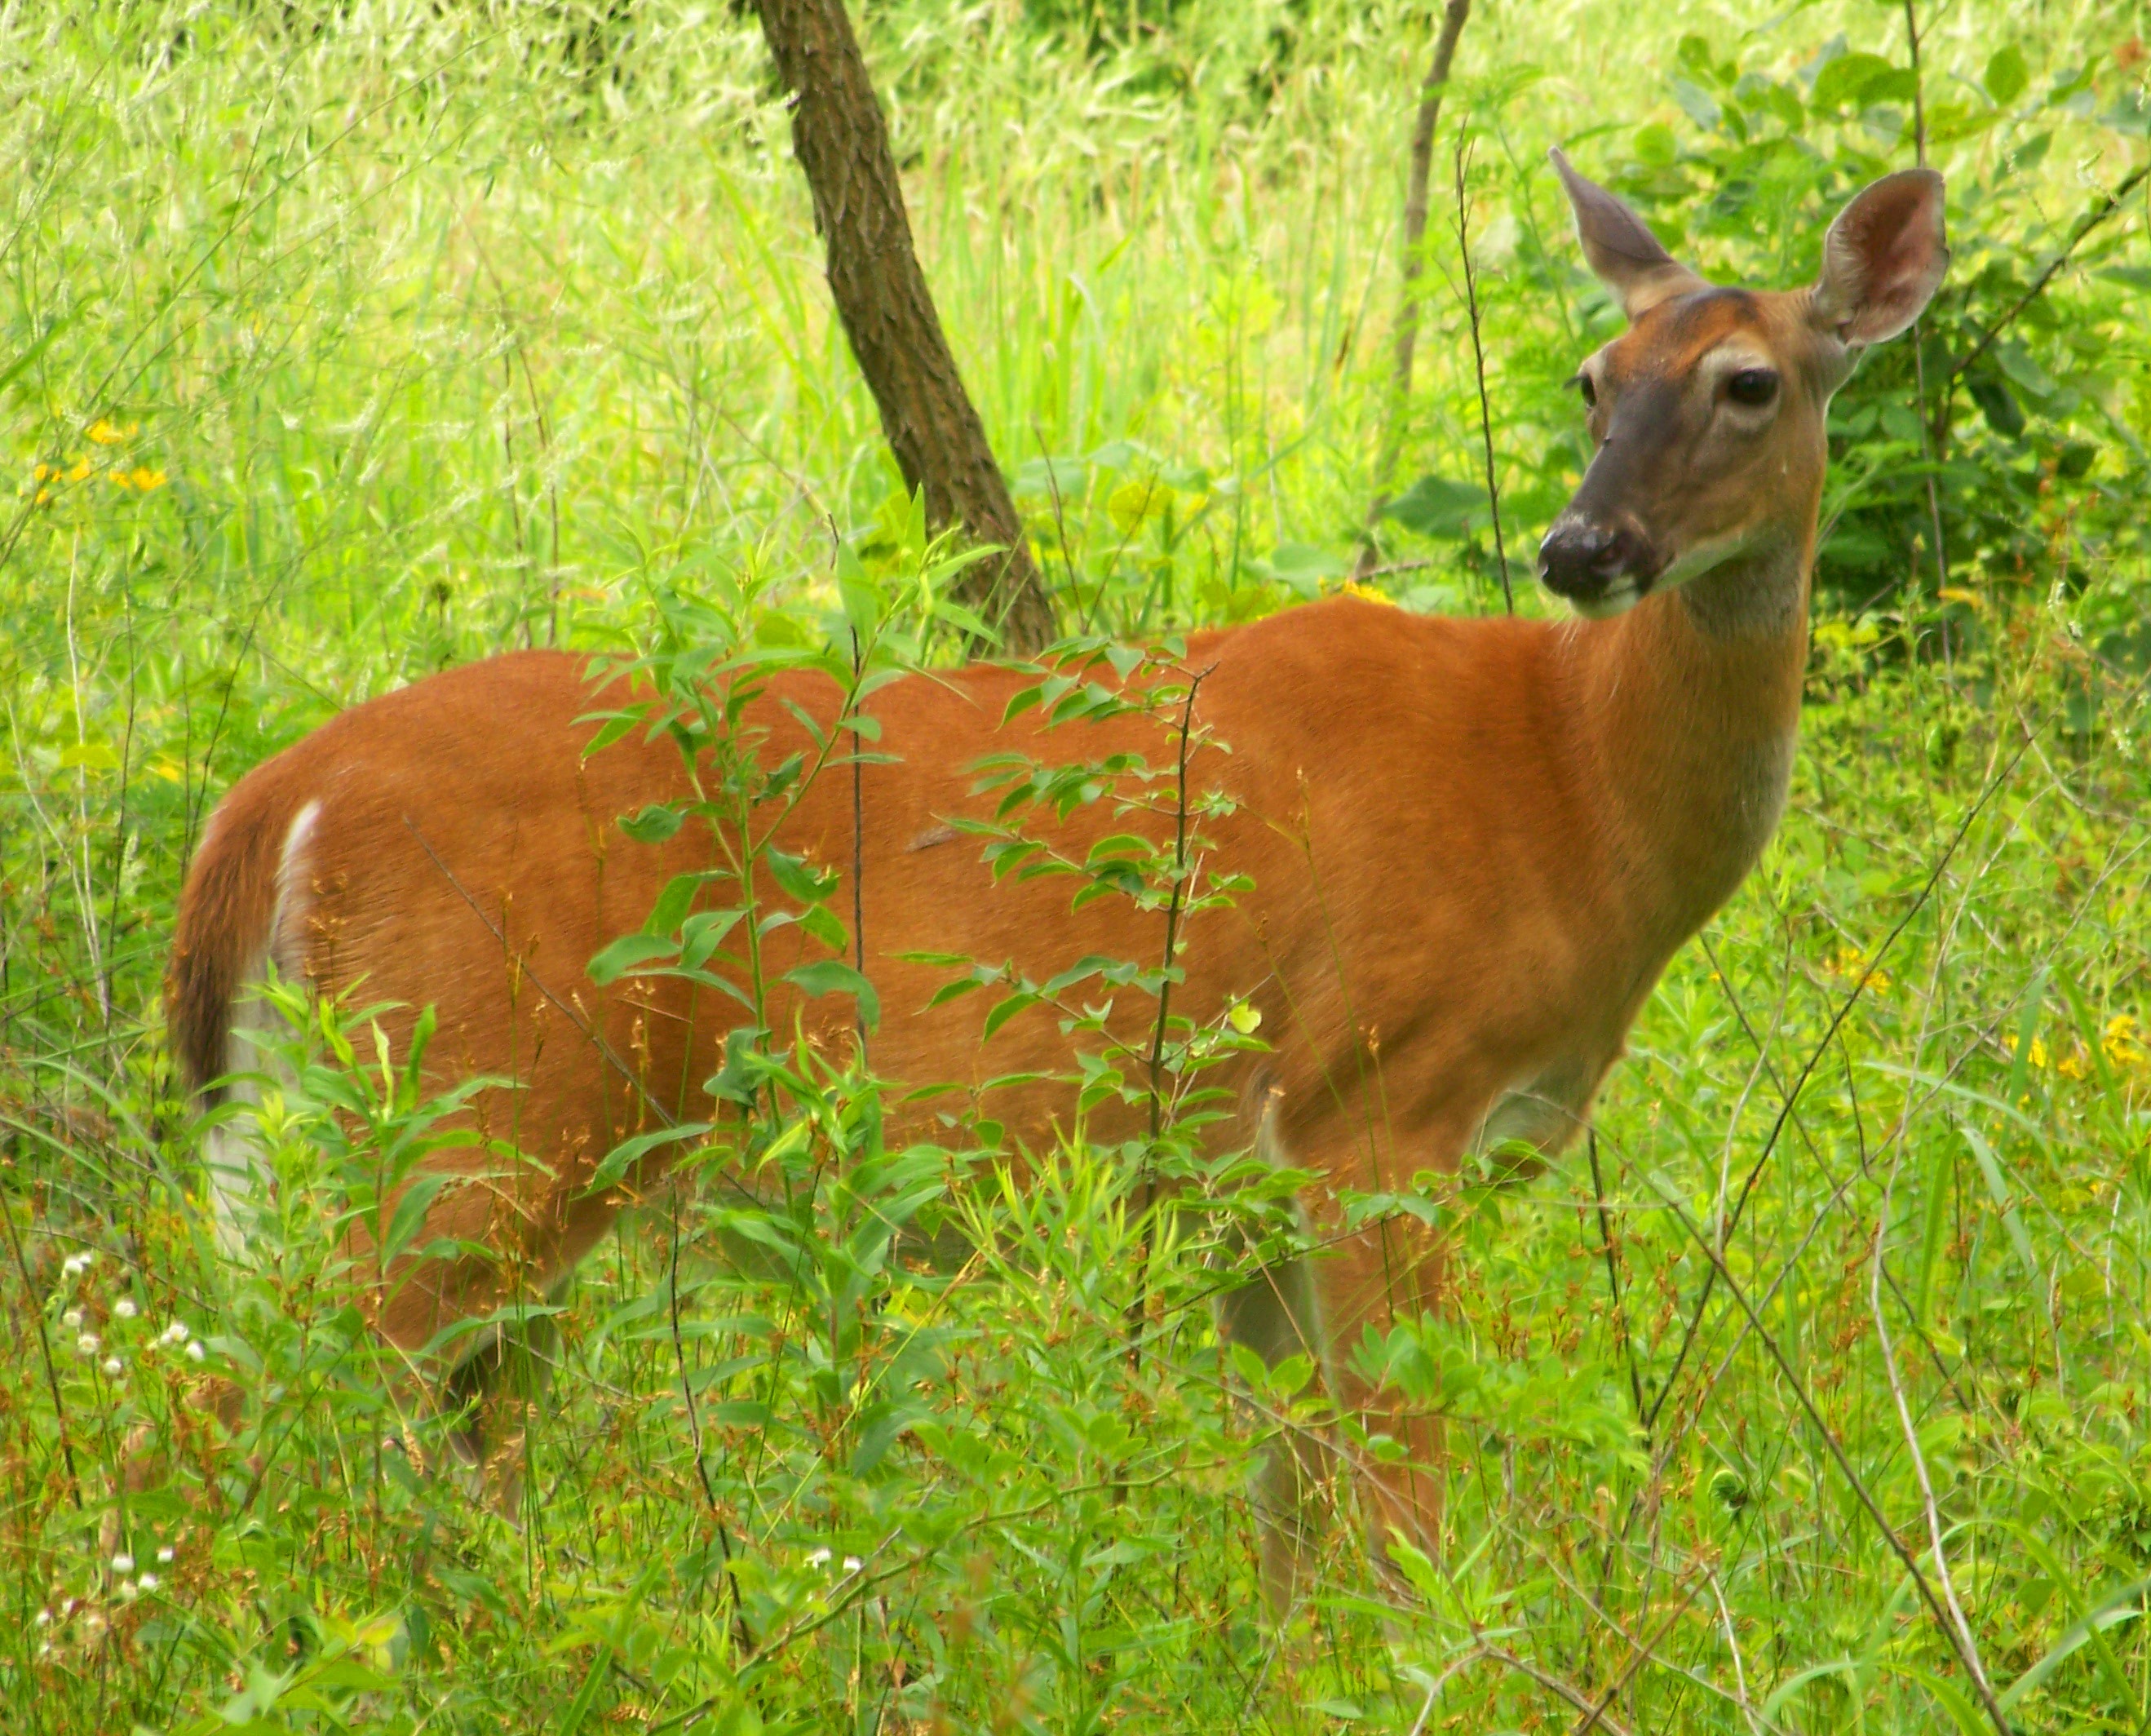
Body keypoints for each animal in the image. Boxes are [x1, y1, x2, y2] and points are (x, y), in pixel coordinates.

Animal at [167, 153, 1946, 1613]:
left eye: (1747, 382)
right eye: (1590, 380)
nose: (1581, 549)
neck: (1568, 786)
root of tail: (269, 803)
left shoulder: (1253, 1190)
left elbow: (1286, 1521)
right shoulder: (1379, 1104)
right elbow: (1397, 1508)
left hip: (329, 1125)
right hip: (471, 1106)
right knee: (229, 1409)